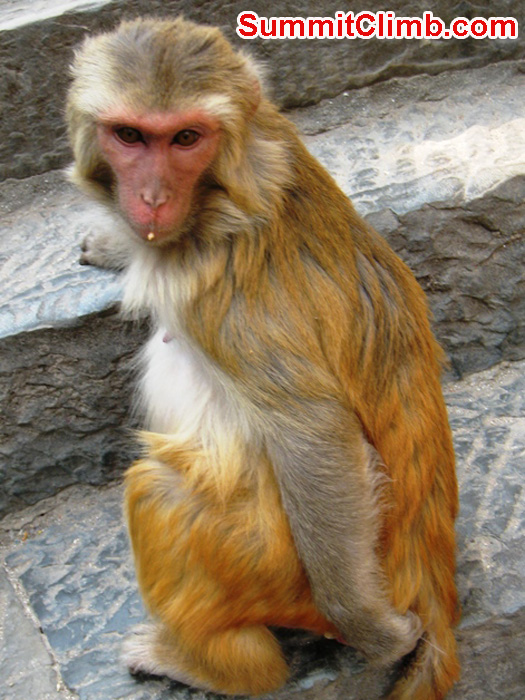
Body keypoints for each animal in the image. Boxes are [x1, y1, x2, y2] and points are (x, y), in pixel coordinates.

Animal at [67, 17, 460, 699]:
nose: (151, 197)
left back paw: (220, 664)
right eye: (129, 135)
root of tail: (425, 572)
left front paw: (376, 632)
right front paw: (118, 241)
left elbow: (314, 433)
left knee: (157, 490)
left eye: (186, 138)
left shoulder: (228, 293)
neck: (220, 194)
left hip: (272, 567)